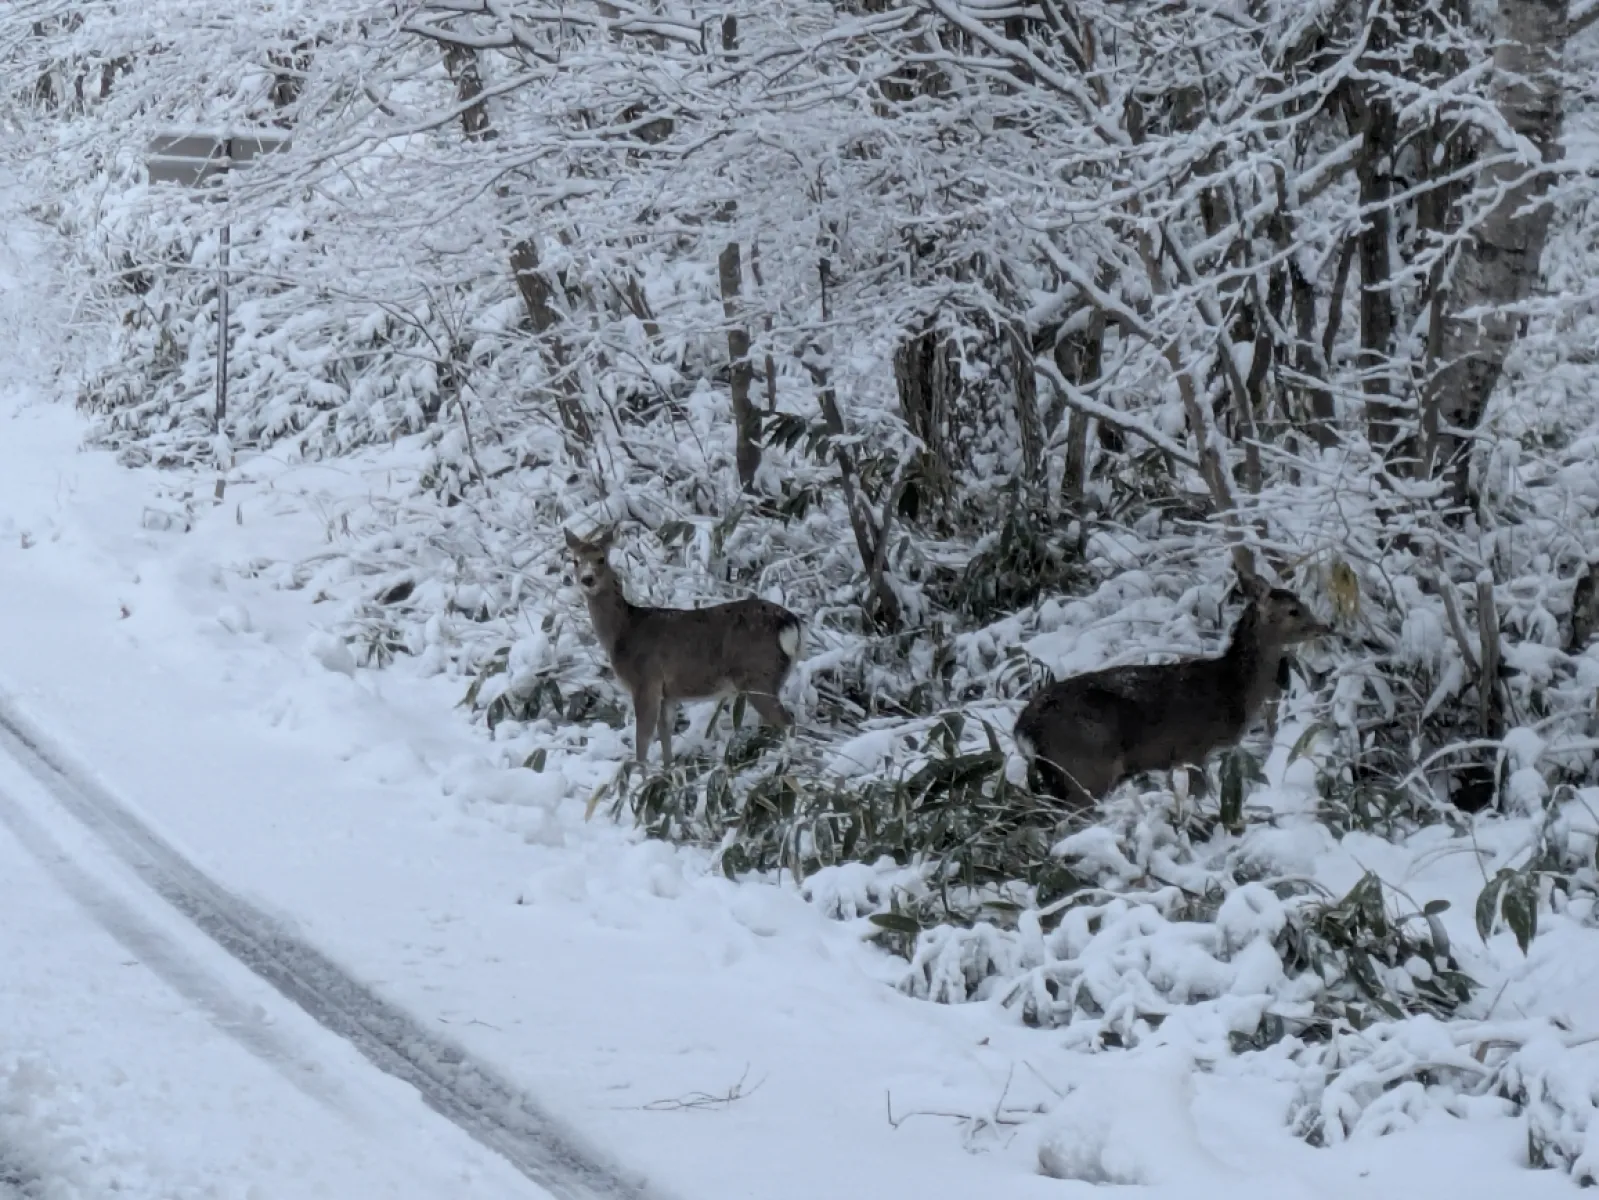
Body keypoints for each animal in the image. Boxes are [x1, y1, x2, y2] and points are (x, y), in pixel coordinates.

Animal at [564, 526, 804, 766]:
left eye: (601, 558)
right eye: (575, 560)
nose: (587, 579)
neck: (622, 632)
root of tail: (790, 623)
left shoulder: (645, 681)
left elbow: (642, 741)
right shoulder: (668, 694)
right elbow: (665, 736)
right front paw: (668, 771)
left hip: (757, 676)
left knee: (789, 723)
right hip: (772, 677)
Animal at [1012, 576, 1330, 809]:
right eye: (1293, 611)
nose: (1325, 626)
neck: (1234, 689)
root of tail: (1024, 728)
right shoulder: (1194, 748)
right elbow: (1198, 794)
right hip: (1086, 767)